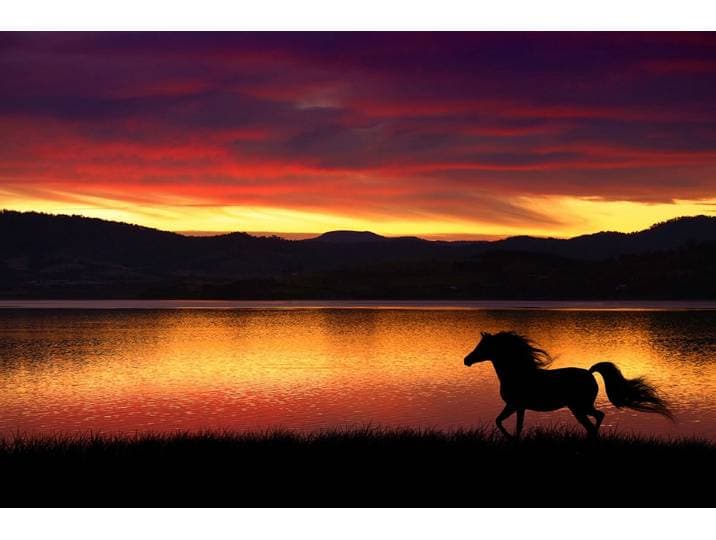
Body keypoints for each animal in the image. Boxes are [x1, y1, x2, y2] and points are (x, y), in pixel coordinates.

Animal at [464, 331, 672, 438]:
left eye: (483, 347)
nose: (467, 360)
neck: (517, 373)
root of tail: (589, 372)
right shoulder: (513, 406)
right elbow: (501, 421)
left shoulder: (517, 405)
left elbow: (513, 425)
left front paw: (511, 439)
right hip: (579, 407)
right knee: (597, 417)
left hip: (580, 407)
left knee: (598, 417)